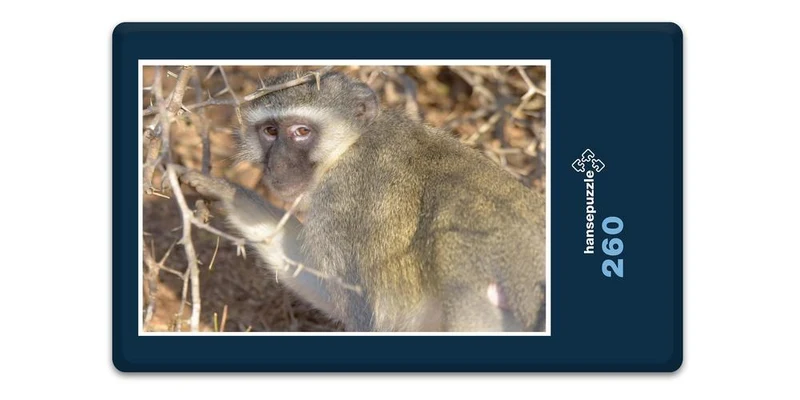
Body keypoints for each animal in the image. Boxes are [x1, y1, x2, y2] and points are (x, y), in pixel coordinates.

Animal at [179, 70, 546, 332]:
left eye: (301, 132)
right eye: (270, 131)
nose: (278, 163)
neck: (348, 147)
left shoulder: (341, 206)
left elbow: (362, 313)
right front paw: (226, 191)